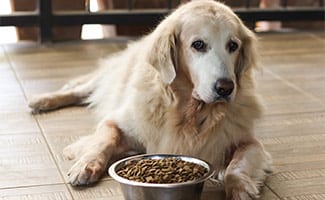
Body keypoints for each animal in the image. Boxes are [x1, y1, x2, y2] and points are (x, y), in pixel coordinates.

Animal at [28, 0, 270, 199]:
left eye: (233, 46)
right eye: (198, 44)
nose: (225, 88)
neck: (190, 110)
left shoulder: (250, 142)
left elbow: (236, 166)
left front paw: (240, 188)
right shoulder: (116, 122)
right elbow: (103, 140)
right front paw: (86, 165)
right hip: (108, 78)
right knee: (80, 90)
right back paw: (42, 100)